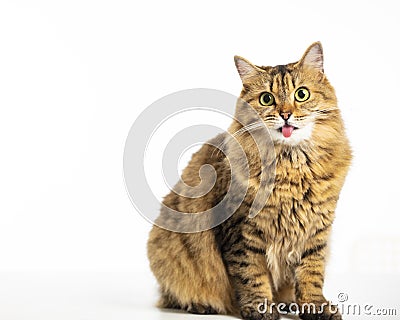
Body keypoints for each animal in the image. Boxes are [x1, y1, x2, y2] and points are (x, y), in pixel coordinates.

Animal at [146, 42, 350, 320]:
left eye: (301, 94)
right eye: (267, 99)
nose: (286, 114)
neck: (291, 167)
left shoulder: (316, 231)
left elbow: (311, 274)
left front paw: (314, 306)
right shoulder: (242, 233)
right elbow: (252, 275)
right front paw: (260, 308)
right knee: (172, 295)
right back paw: (201, 305)